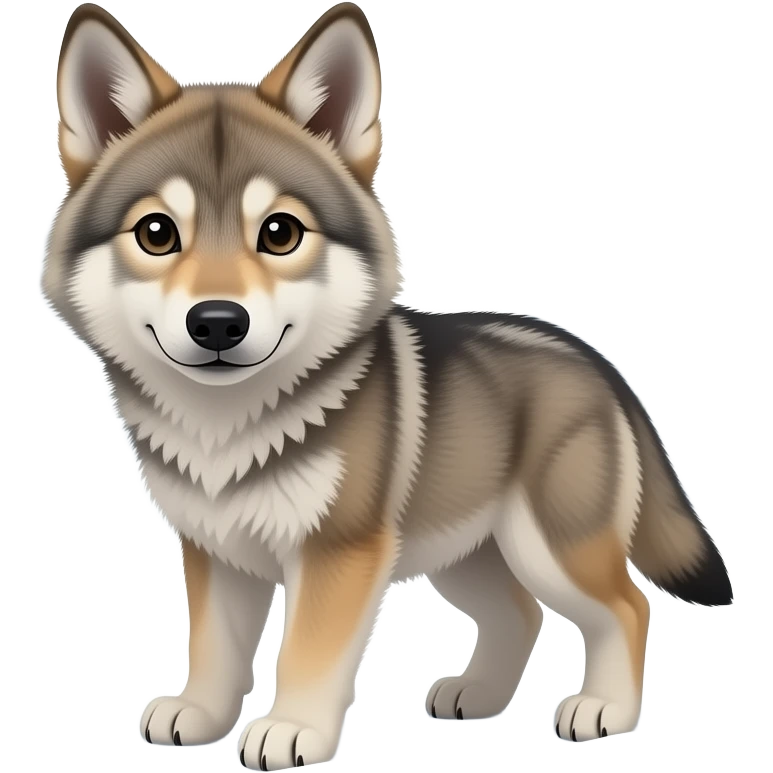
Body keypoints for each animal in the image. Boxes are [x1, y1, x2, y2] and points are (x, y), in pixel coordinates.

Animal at [42, 1, 733, 766]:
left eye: (280, 233)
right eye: (157, 233)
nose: (217, 322)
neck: (229, 425)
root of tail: (596, 360)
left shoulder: (340, 554)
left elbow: (308, 652)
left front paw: (291, 729)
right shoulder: (219, 554)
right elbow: (214, 648)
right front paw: (200, 713)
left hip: (548, 545)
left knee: (627, 606)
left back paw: (605, 707)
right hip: (465, 551)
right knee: (521, 612)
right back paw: (478, 695)